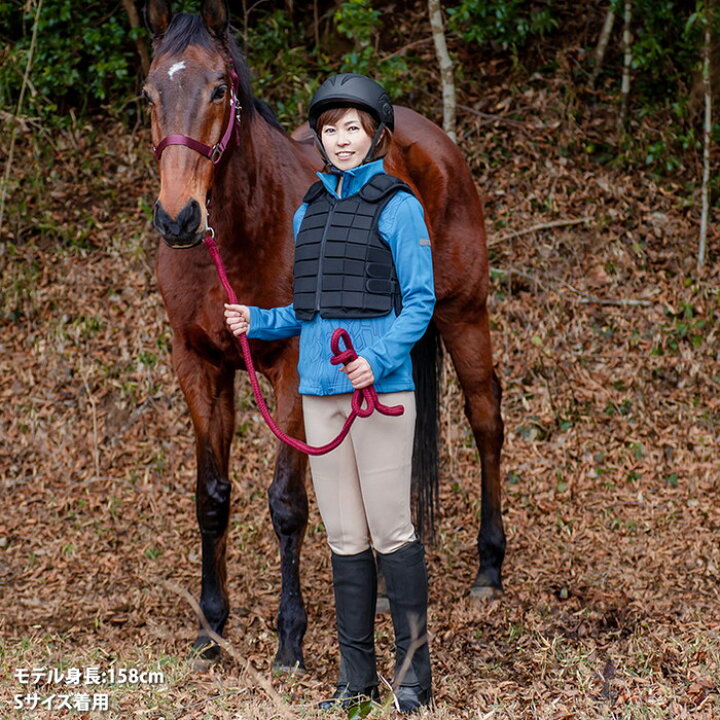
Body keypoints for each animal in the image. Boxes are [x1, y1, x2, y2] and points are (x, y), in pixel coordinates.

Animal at [143, 0, 505, 670]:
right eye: (149, 93)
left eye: (219, 88)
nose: (178, 219)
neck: (240, 233)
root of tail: (434, 141)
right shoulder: (198, 366)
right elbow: (212, 498)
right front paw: (211, 630)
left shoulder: (291, 368)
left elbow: (286, 503)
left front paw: (290, 639)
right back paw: (386, 588)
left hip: (464, 314)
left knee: (486, 420)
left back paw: (489, 570)